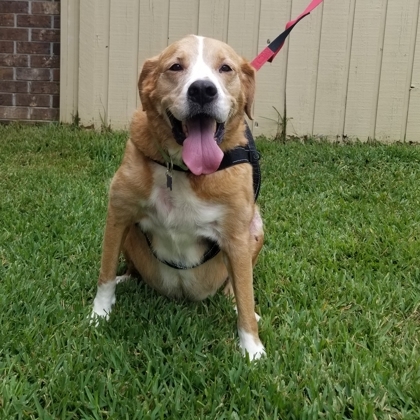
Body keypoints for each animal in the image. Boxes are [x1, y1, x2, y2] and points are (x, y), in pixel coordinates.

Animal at [91, 34, 266, 360]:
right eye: (175, 66)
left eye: (226, 68)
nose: (203, 90)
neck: (184, 169)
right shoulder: (118, 214)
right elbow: (105, 272)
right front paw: (99, 314)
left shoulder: (237, 236)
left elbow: (246, 295)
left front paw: (252, 349)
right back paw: (128, 278)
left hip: (256, 227)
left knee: (236, 285)